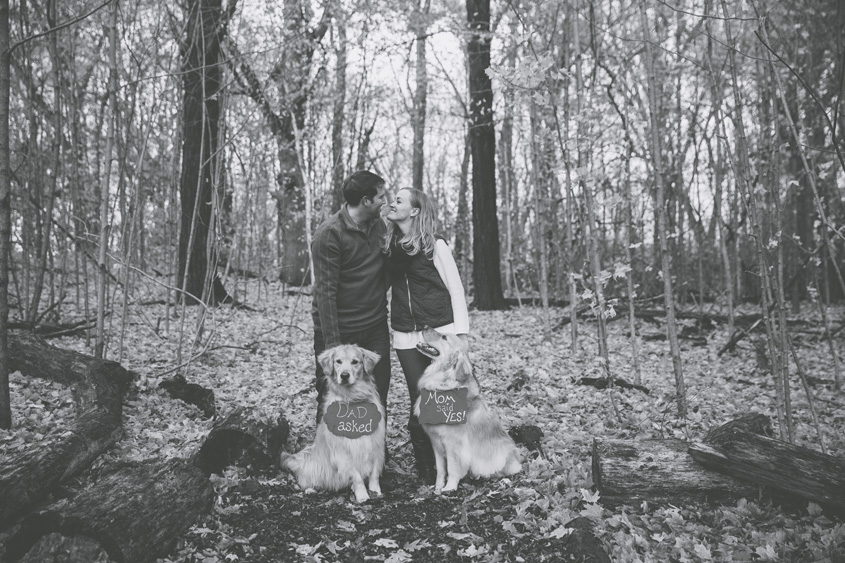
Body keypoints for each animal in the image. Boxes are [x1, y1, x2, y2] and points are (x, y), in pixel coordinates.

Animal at [280, 346, 386, 504]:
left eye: (355, 362)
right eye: (338, 361)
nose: (344, 375)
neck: (352, 399)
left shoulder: (375, 444)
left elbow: (374, 474)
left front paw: (375, 492)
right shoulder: (342, 451)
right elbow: (356, 477)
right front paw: (362, 495)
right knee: (305, 481)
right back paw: (311, 489)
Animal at [410, 330, 520, 494]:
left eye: (444, 337)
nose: (424, 326)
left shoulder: (454, 444)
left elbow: (452, 468)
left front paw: (449, 487)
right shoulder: (435, 441)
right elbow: (441, 469)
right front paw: (438, 487)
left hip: (501, 455)